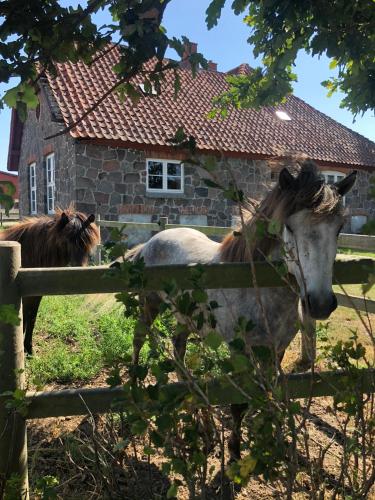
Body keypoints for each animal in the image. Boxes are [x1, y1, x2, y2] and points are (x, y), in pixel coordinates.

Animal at [0, 207, 100, 356]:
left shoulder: (35, 296)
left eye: (87, 242)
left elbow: (31, 318)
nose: (78, 270)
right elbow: (23, 319)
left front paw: (29, 349)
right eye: (67, 240)